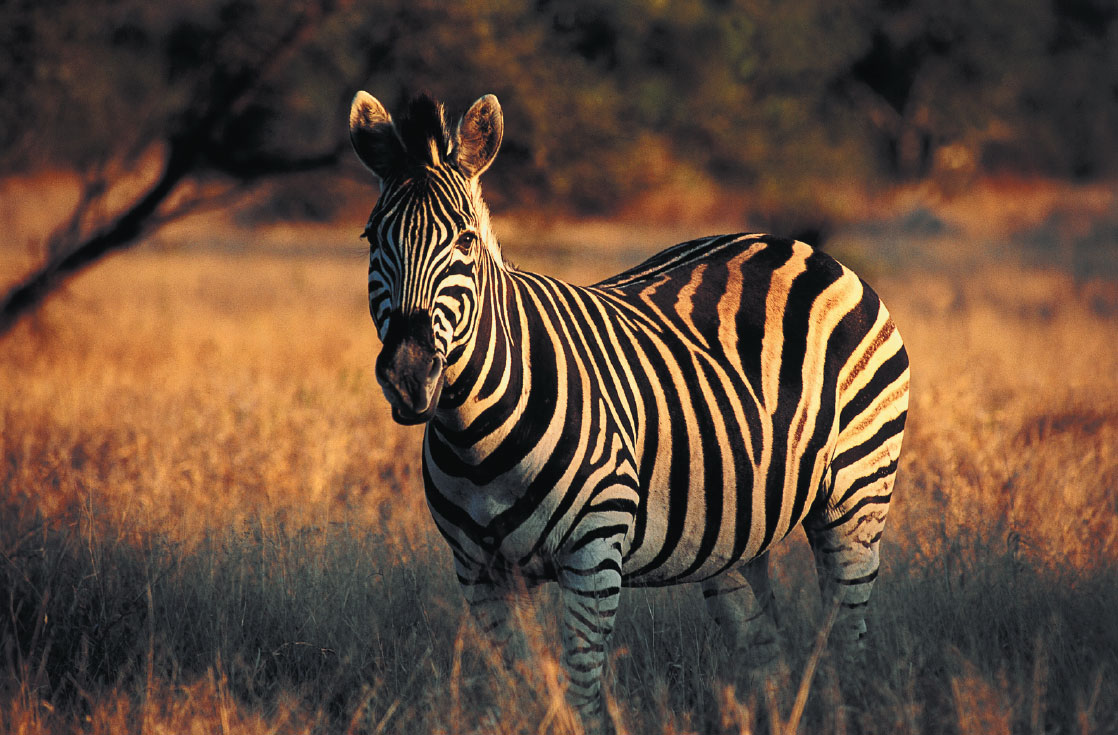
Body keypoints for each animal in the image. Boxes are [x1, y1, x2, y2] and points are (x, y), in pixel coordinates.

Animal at [349, 91, 909, 733]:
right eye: (371, 238)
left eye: (465, 241)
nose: (408, 374)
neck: (474, 437)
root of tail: (799, 246)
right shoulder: (479, 572)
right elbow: (519, 694)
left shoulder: (593, 556)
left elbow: (582, 697)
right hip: (739, 533)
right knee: (767, 657)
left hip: (858, 496)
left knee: (847, 642)